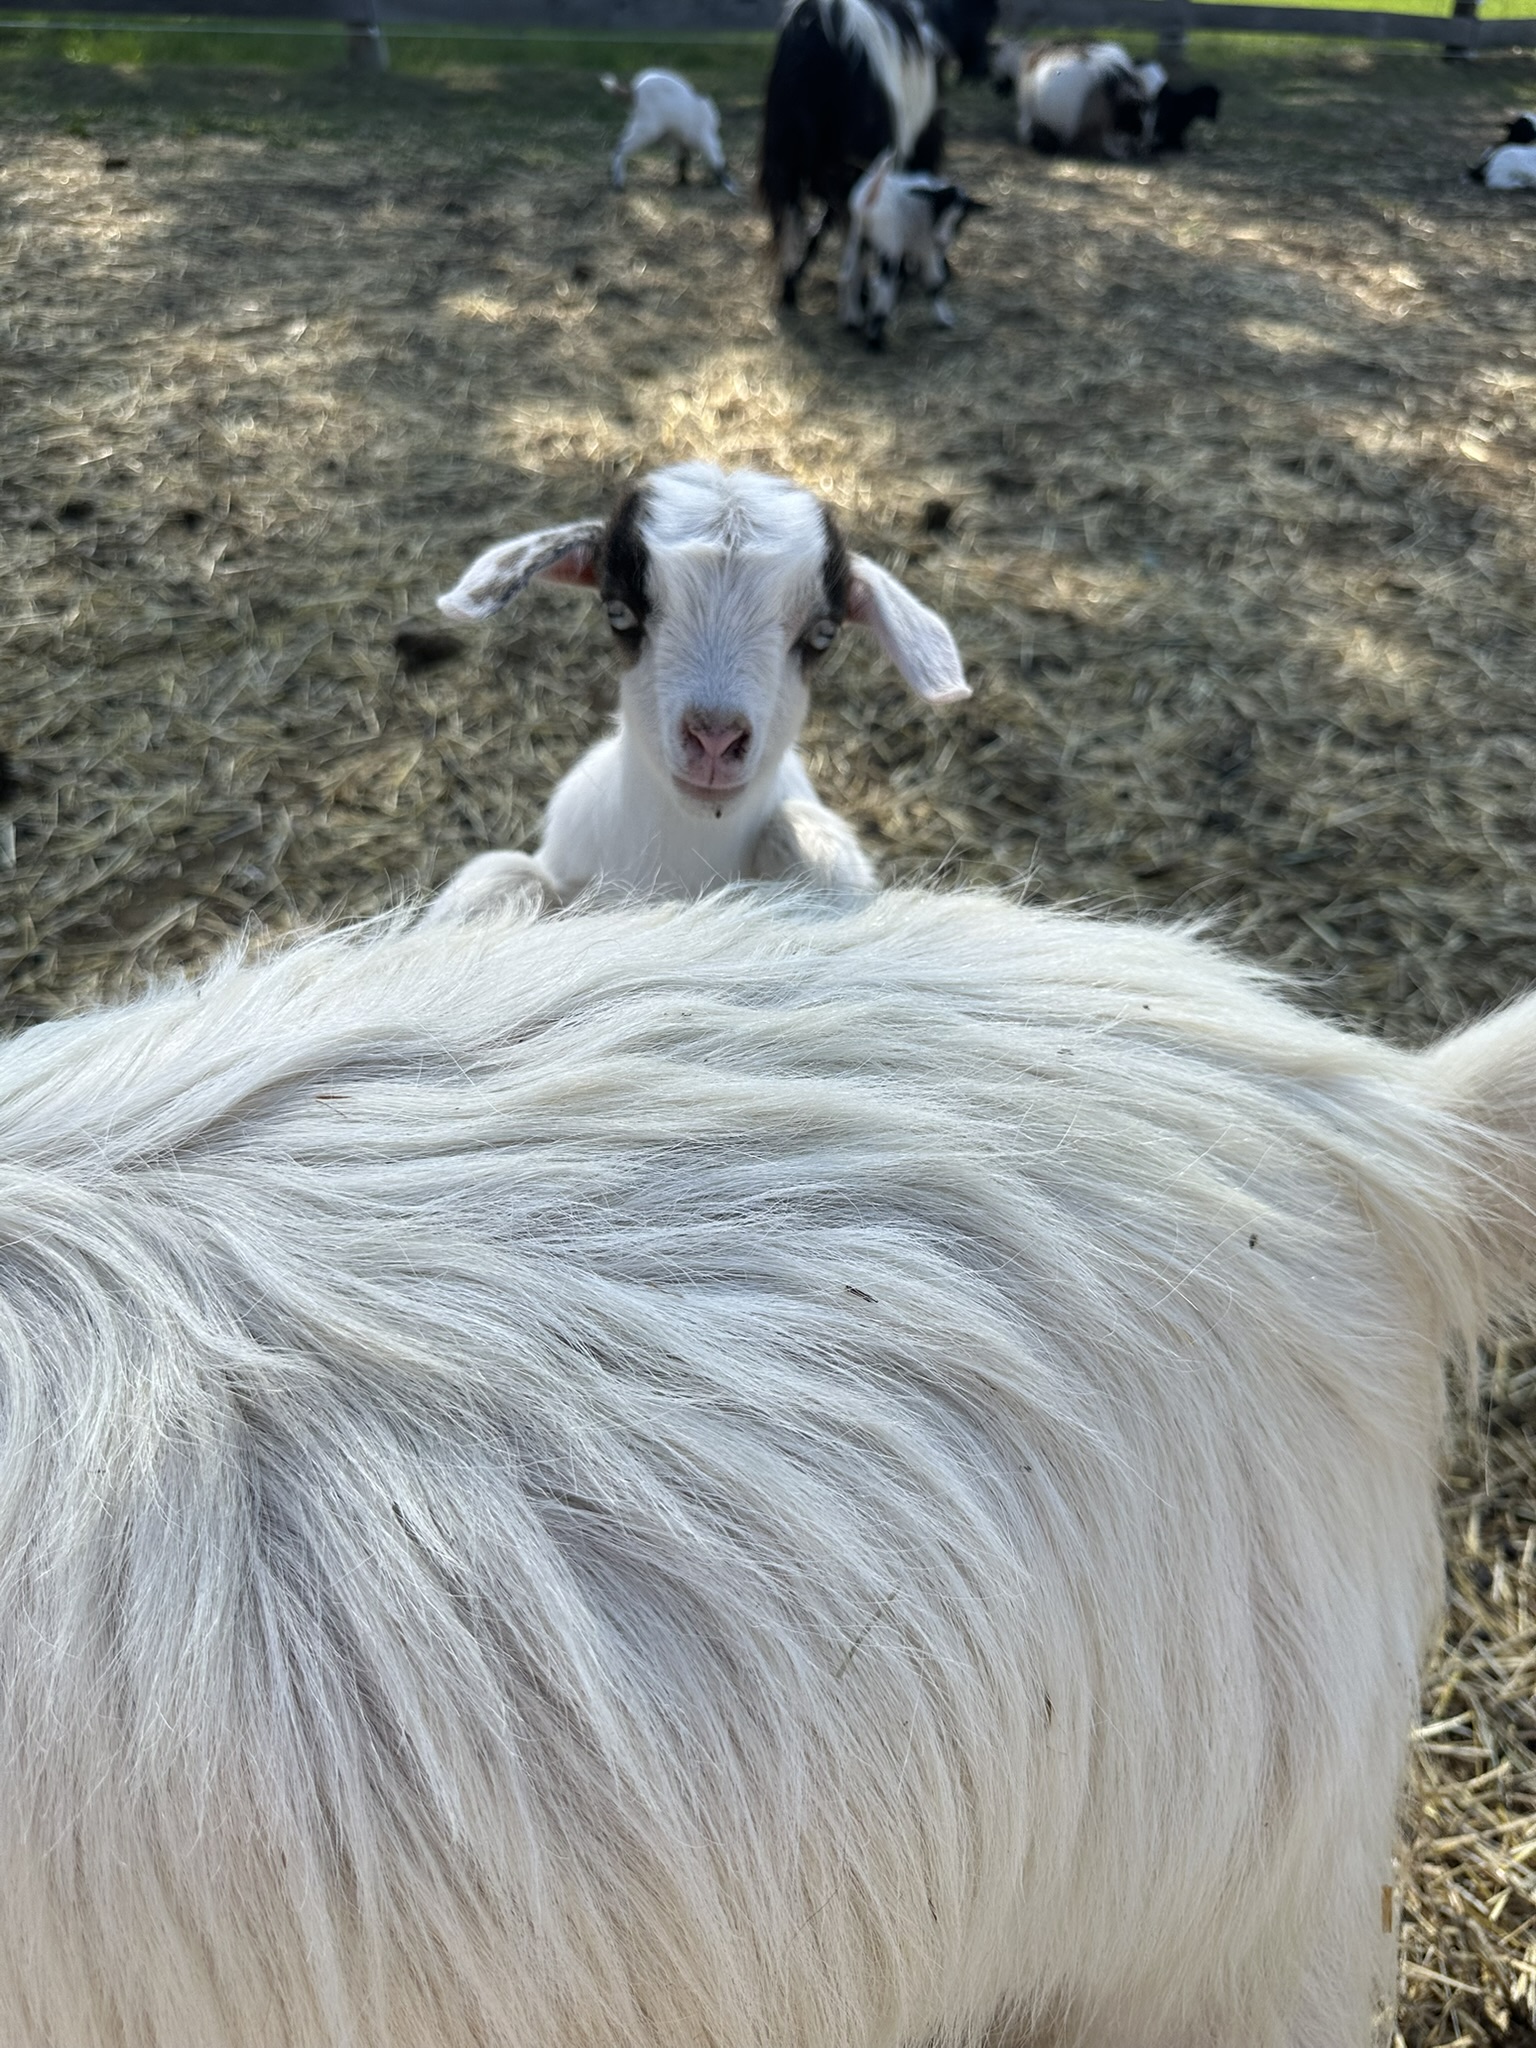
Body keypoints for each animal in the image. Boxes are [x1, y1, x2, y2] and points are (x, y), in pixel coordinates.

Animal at [601, 69, 738, 194]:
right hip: (647, 127)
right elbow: (695, 158)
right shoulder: (698, 138)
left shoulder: (678, 140)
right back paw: (619, 182)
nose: (716, 183)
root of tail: (636, 89)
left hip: (638, 123)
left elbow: (682, 159)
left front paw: (683, 181)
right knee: (622, 147)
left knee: (620, 144)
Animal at [839, 150, 987, 347]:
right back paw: (875, 338)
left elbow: (904, 277)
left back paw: (853, 320)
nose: (943, 240)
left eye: (961, 217)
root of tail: (869, 198)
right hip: (888, 244)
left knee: (850, 275)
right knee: (883, 284)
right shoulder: (926, 248)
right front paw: (944, 319)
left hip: (856, 238)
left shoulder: (910, 247)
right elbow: (934, 281)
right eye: (939, 208)